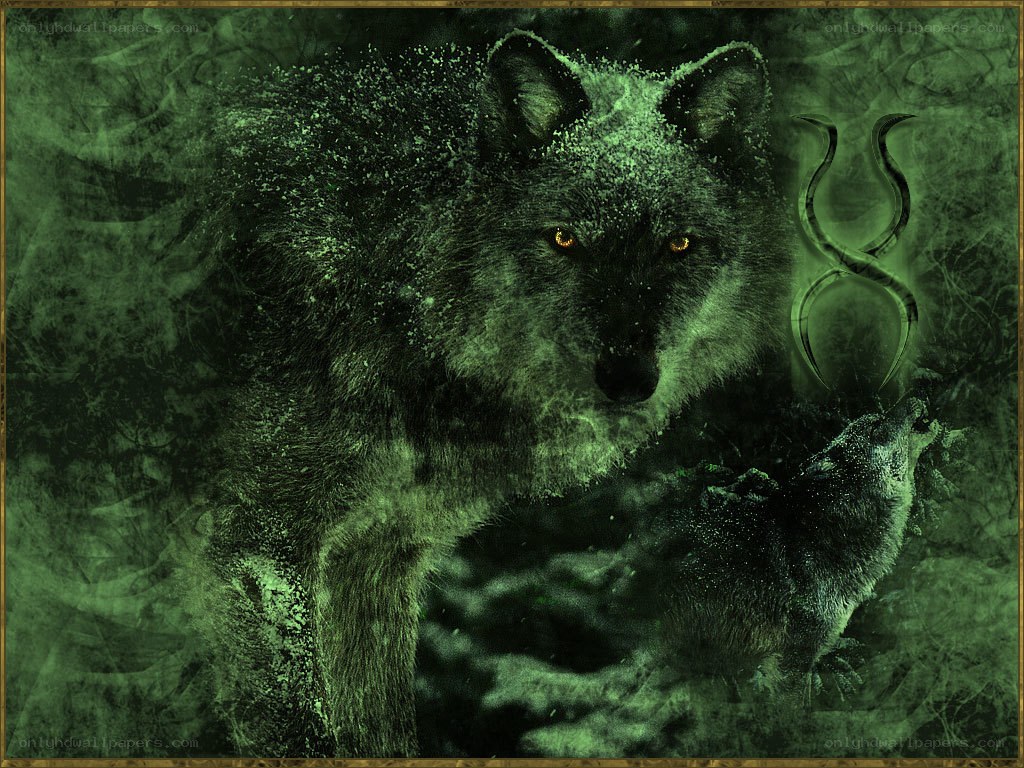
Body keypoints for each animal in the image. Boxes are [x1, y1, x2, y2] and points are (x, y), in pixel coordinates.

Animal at [188, 31, 789, 757]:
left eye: (678, 244)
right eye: (564, 238)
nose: (626, 377)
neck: (395, 288)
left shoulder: (373, 563)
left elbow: (382, 729)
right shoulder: (257, 552)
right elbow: (302, 732)